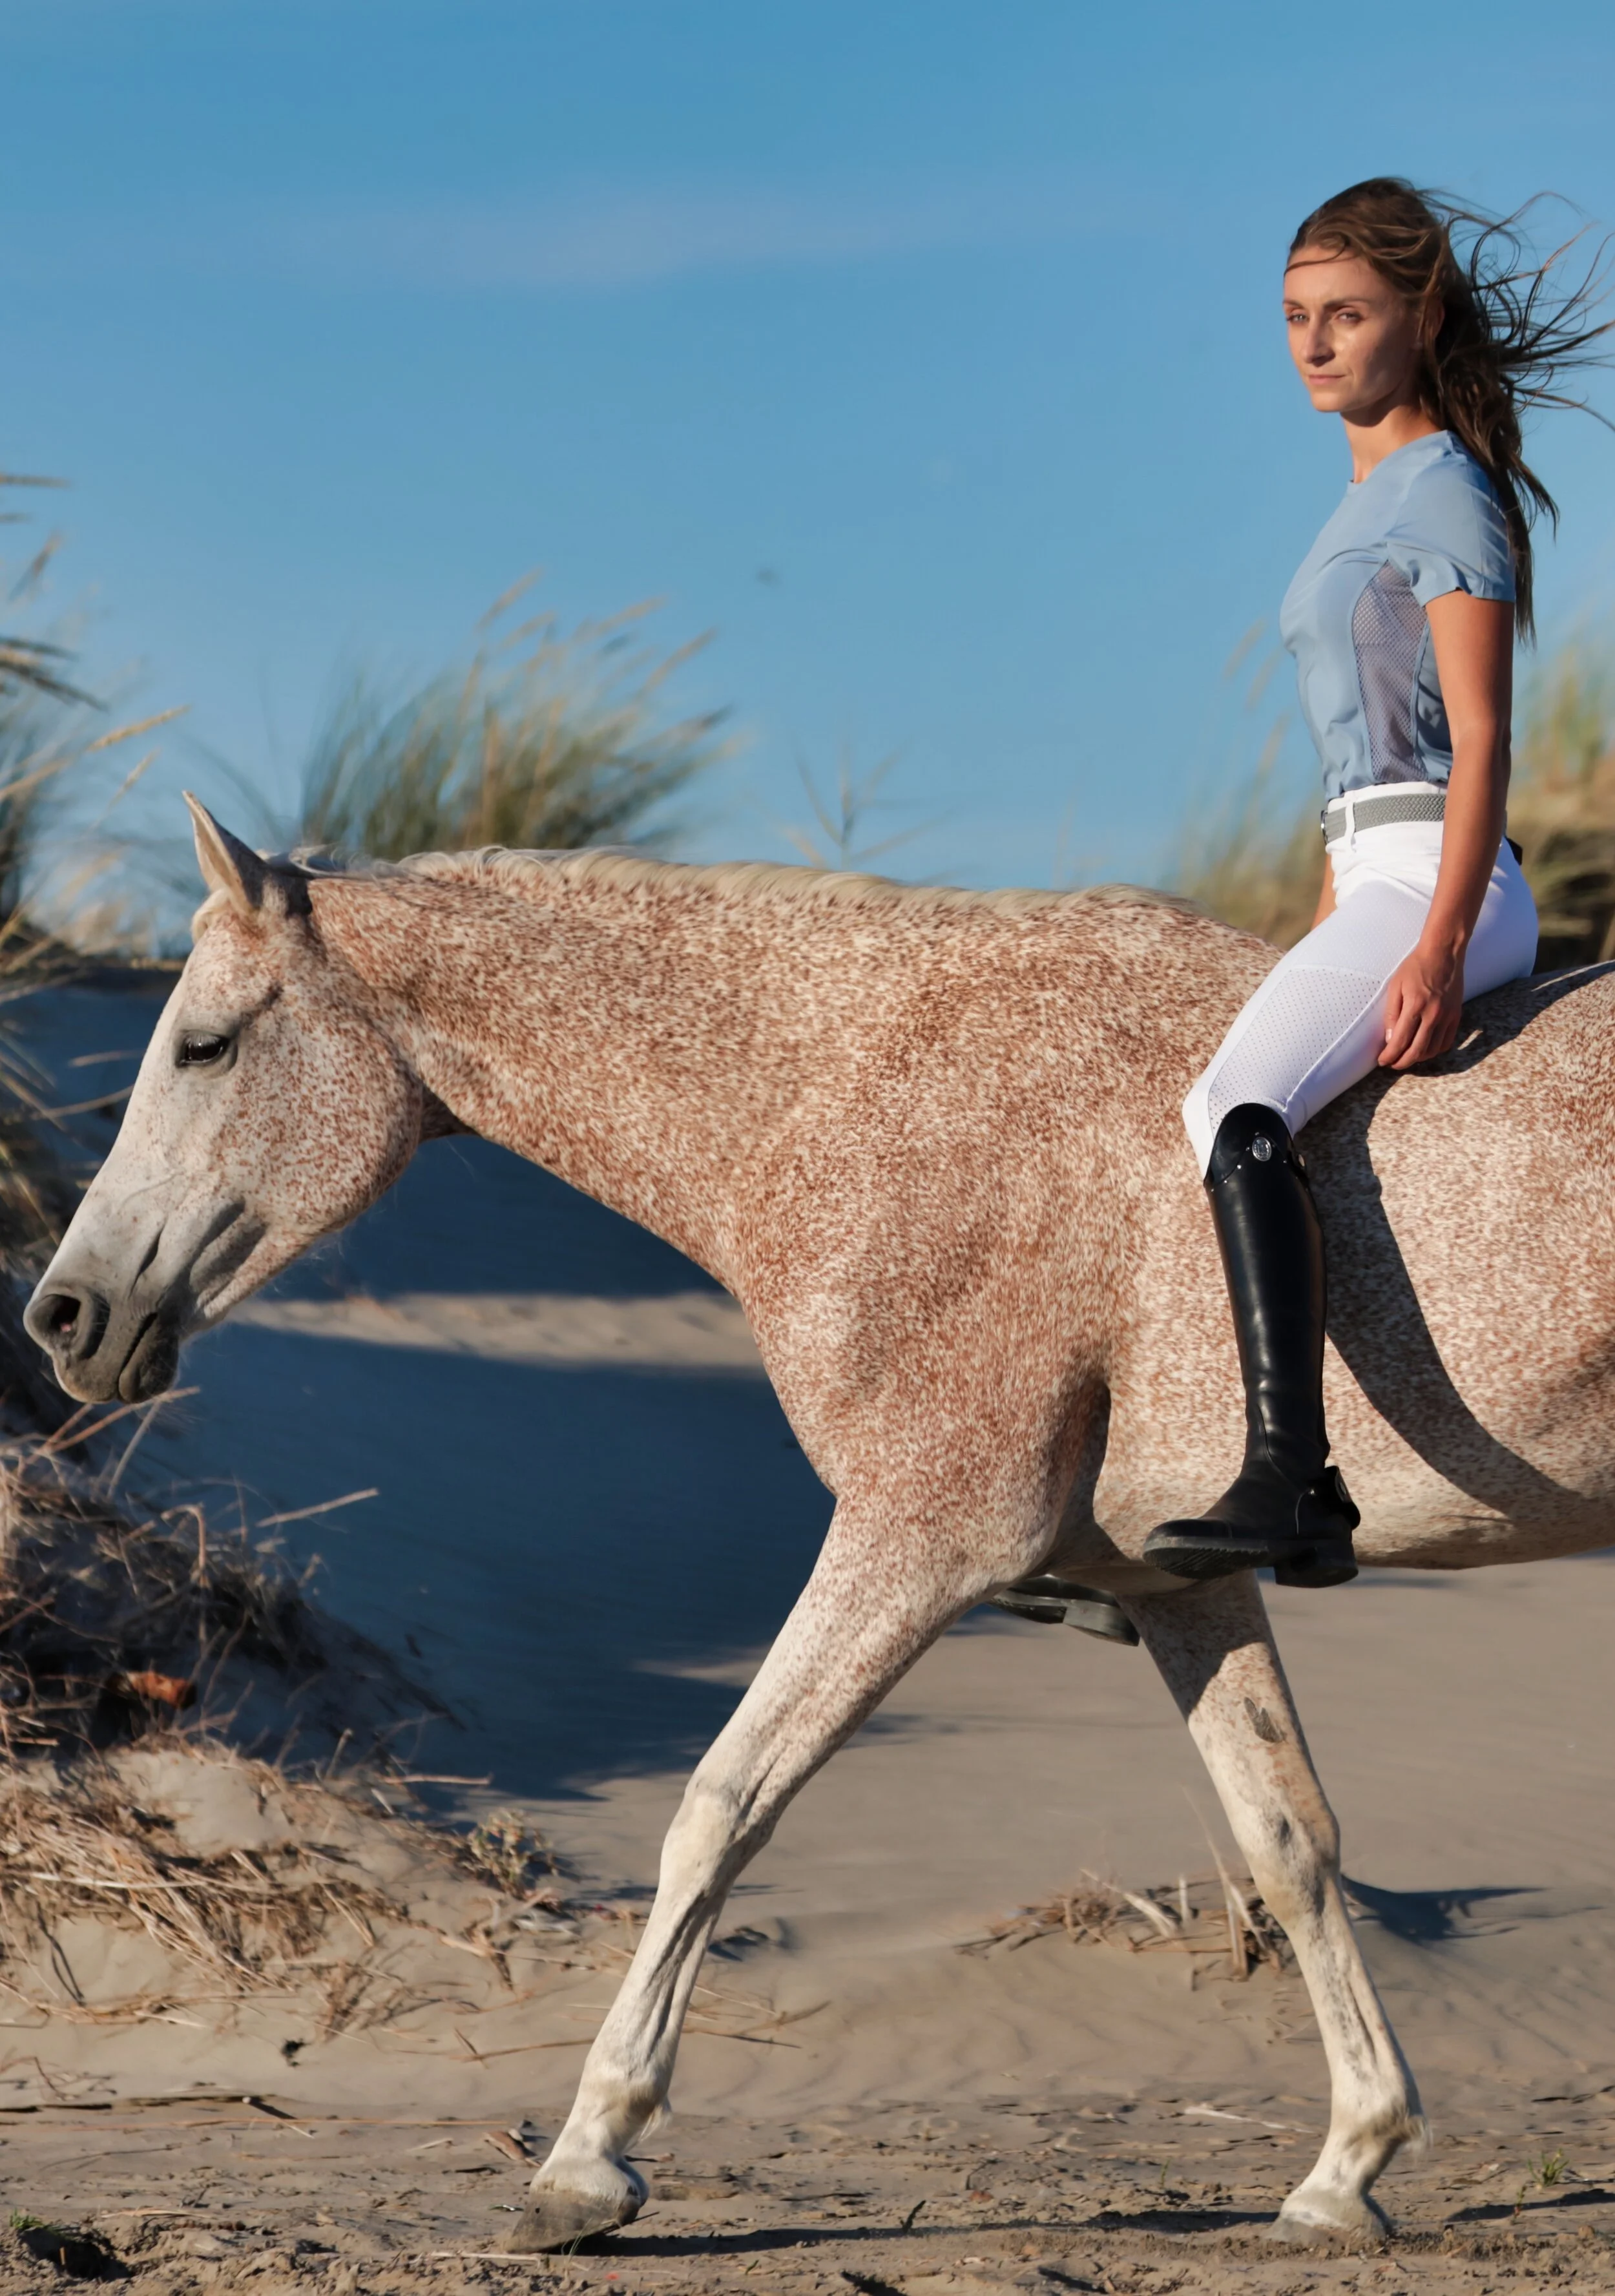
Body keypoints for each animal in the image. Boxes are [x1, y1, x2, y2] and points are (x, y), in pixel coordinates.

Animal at [24, 798, 1615, 2250]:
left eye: (204, 1045)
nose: (64, 1316)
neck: (862, 1093)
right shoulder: (1179, 1585)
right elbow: (1288, 1838)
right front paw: (1350, 2164)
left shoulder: (918, 1536)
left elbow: (723, 1803)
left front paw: (588, 2157)